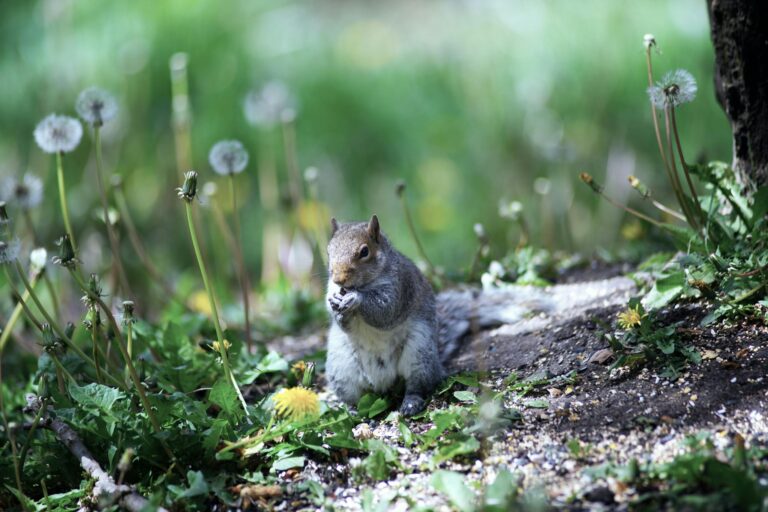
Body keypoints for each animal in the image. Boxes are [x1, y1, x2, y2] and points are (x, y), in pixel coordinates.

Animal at [325, 214, 545, 416]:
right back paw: (352, 410)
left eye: (364, 251)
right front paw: (337, 307)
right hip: (341, 368)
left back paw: (410, 403)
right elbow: (344, 323)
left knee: (418, 386)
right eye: (328, 251)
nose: (338, 279)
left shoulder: (401, 286)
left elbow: (386, 311)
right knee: (355, 396)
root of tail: (384, 384)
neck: (364, 284)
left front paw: (355, 298)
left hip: (419, 354)